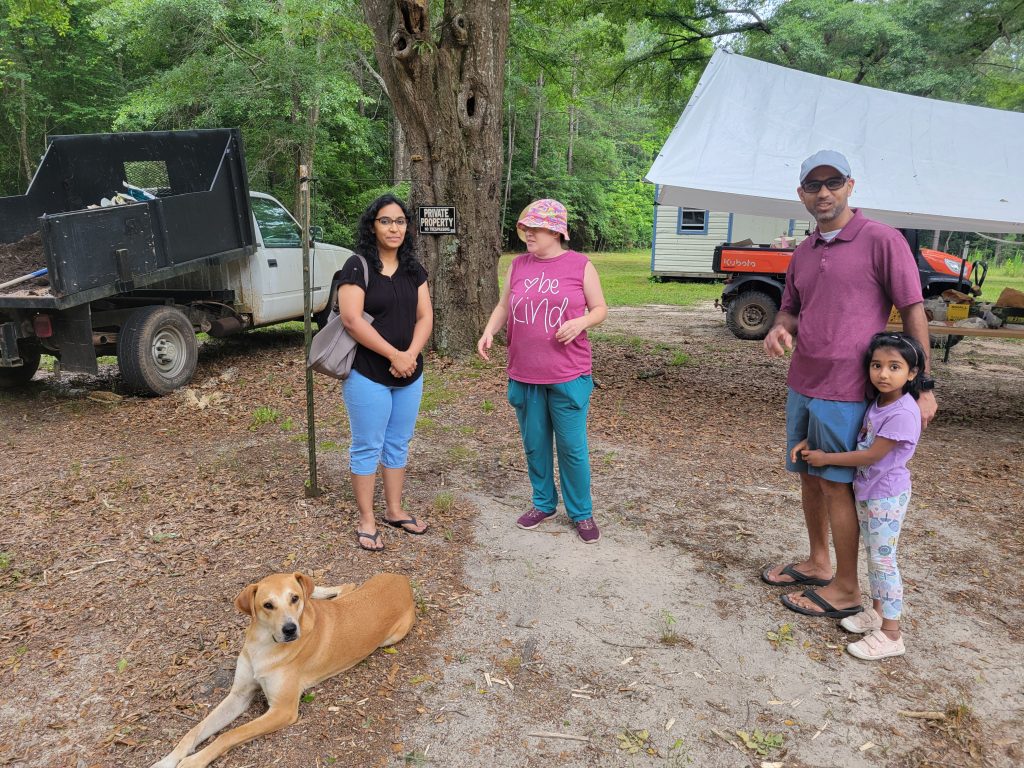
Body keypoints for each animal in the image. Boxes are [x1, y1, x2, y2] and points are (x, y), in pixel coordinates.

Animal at [149, 573, 413, 768]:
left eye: (294, 599)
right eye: (268, 605)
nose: (290, 629)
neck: (263, 644)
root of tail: (401, 578)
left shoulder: (282, 710)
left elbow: (228, 735)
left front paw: (193, 761)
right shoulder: (239, 695)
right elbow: (194, 731)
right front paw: (167, 760)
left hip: (391, 638)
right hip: (350, 594)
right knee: (342, 586)